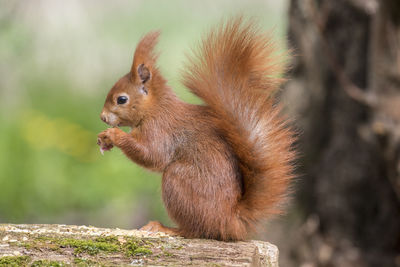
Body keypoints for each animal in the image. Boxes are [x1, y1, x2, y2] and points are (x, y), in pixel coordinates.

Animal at [97, 17, 296, 242]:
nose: (102, 117)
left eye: (122, 99)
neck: (156, 108)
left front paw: (113, 135)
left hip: (178, 182)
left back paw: (166, 228)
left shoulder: (160, 130)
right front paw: (103, 139)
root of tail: (231, 221)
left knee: (195, 230)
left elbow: (152, 155)